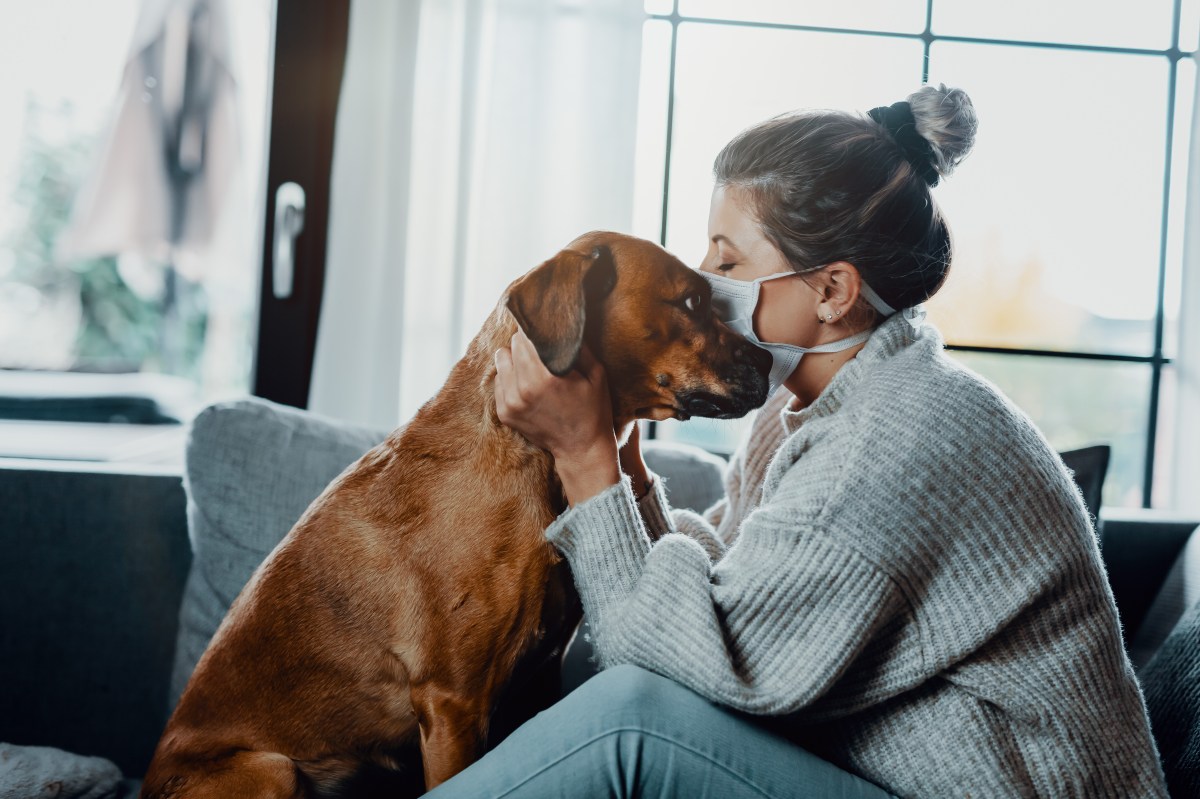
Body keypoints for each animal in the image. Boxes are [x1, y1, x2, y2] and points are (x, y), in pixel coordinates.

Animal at [140, 226, 768, 791]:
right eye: (691, 302)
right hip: (272, 769)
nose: (767, 362)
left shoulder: (536, 682)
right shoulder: (454, 705)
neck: (525, 456)